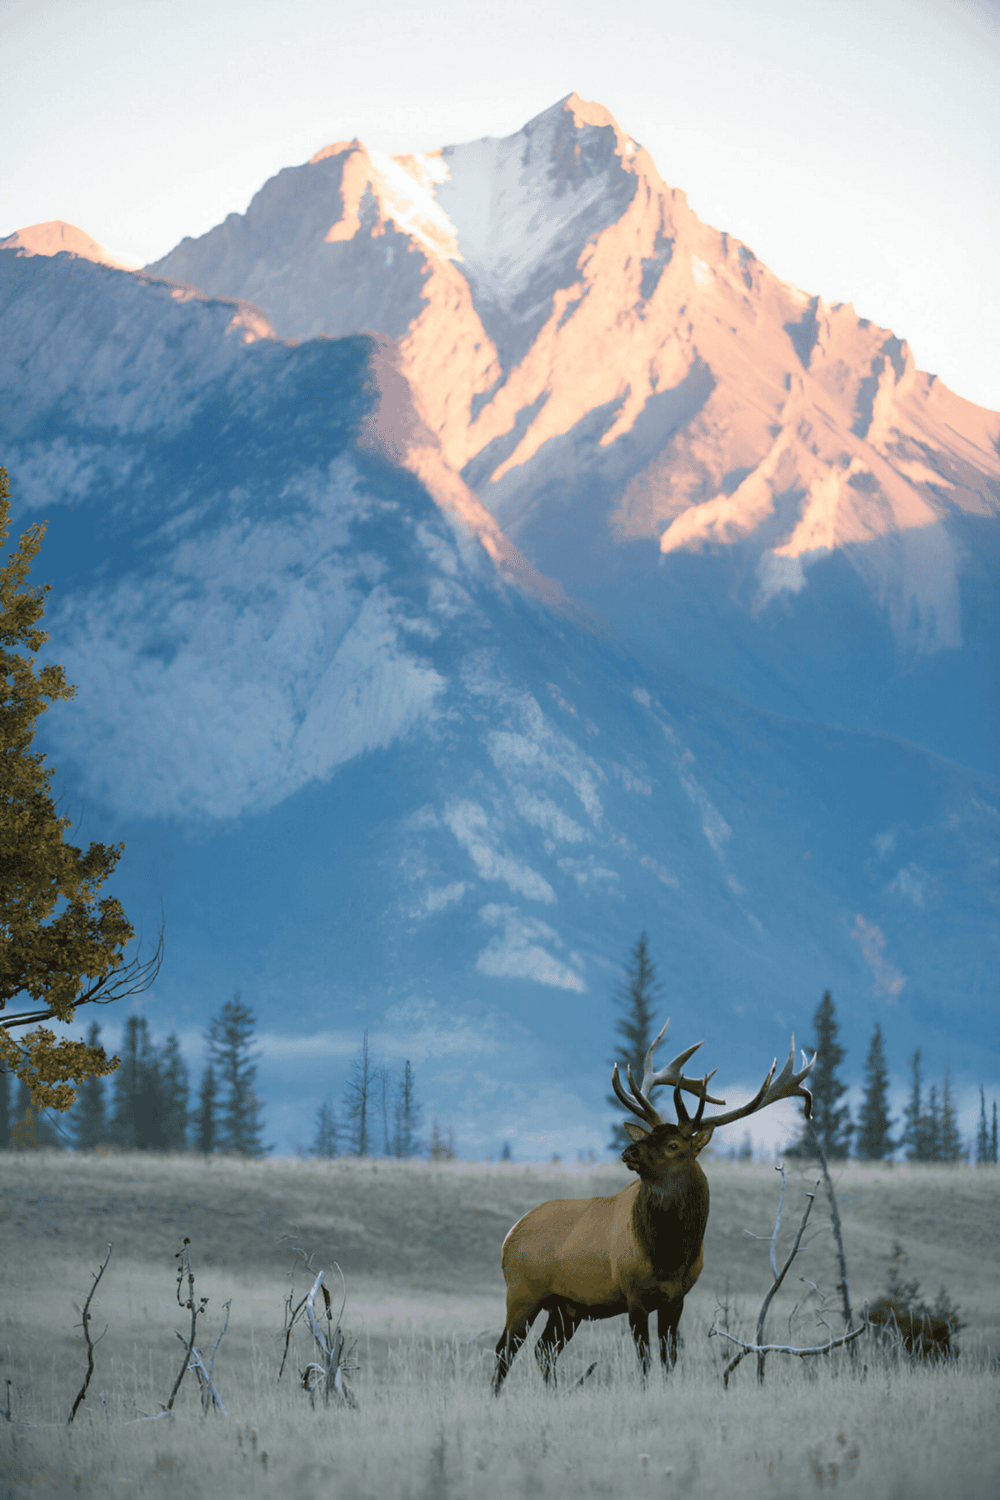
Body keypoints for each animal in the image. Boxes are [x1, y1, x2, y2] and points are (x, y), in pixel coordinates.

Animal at [492, 1021, 814, 1392]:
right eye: (647, 1135)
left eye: (673, 1145)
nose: (629, 1150)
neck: (669, 1256)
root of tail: (509, 1235)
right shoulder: (633, 1294)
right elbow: (645, 1360)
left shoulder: (677, 1298)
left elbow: (668, 1357)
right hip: (522, 1292)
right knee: (504, 1349)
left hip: (567, 1307)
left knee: (543, 1350)